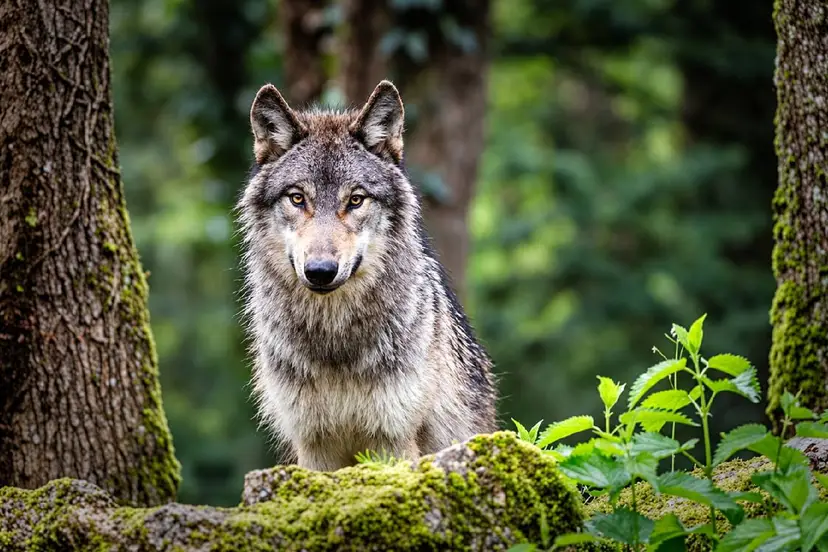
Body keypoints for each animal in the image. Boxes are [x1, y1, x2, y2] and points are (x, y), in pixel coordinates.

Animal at [237, 80, 497, 471]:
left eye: (356, 200)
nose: (320, 272)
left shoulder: (392, 438)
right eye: (297, 199)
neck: (334, 342)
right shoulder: (313, 444)